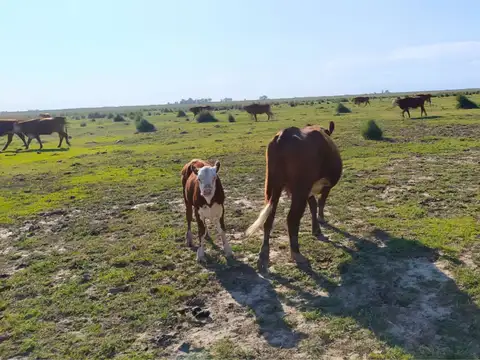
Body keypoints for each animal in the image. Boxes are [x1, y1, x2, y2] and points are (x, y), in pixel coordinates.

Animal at [246, 121, 344, 272]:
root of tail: (284, 135)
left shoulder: (308, 191)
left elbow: (313, 206)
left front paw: (316, 229)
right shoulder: (322, 187)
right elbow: (320, 203)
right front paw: (321, 221)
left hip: (272, 185)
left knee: (269, 217)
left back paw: (263, 255)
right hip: (299, 188)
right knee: (292, 219)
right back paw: (296, 253)